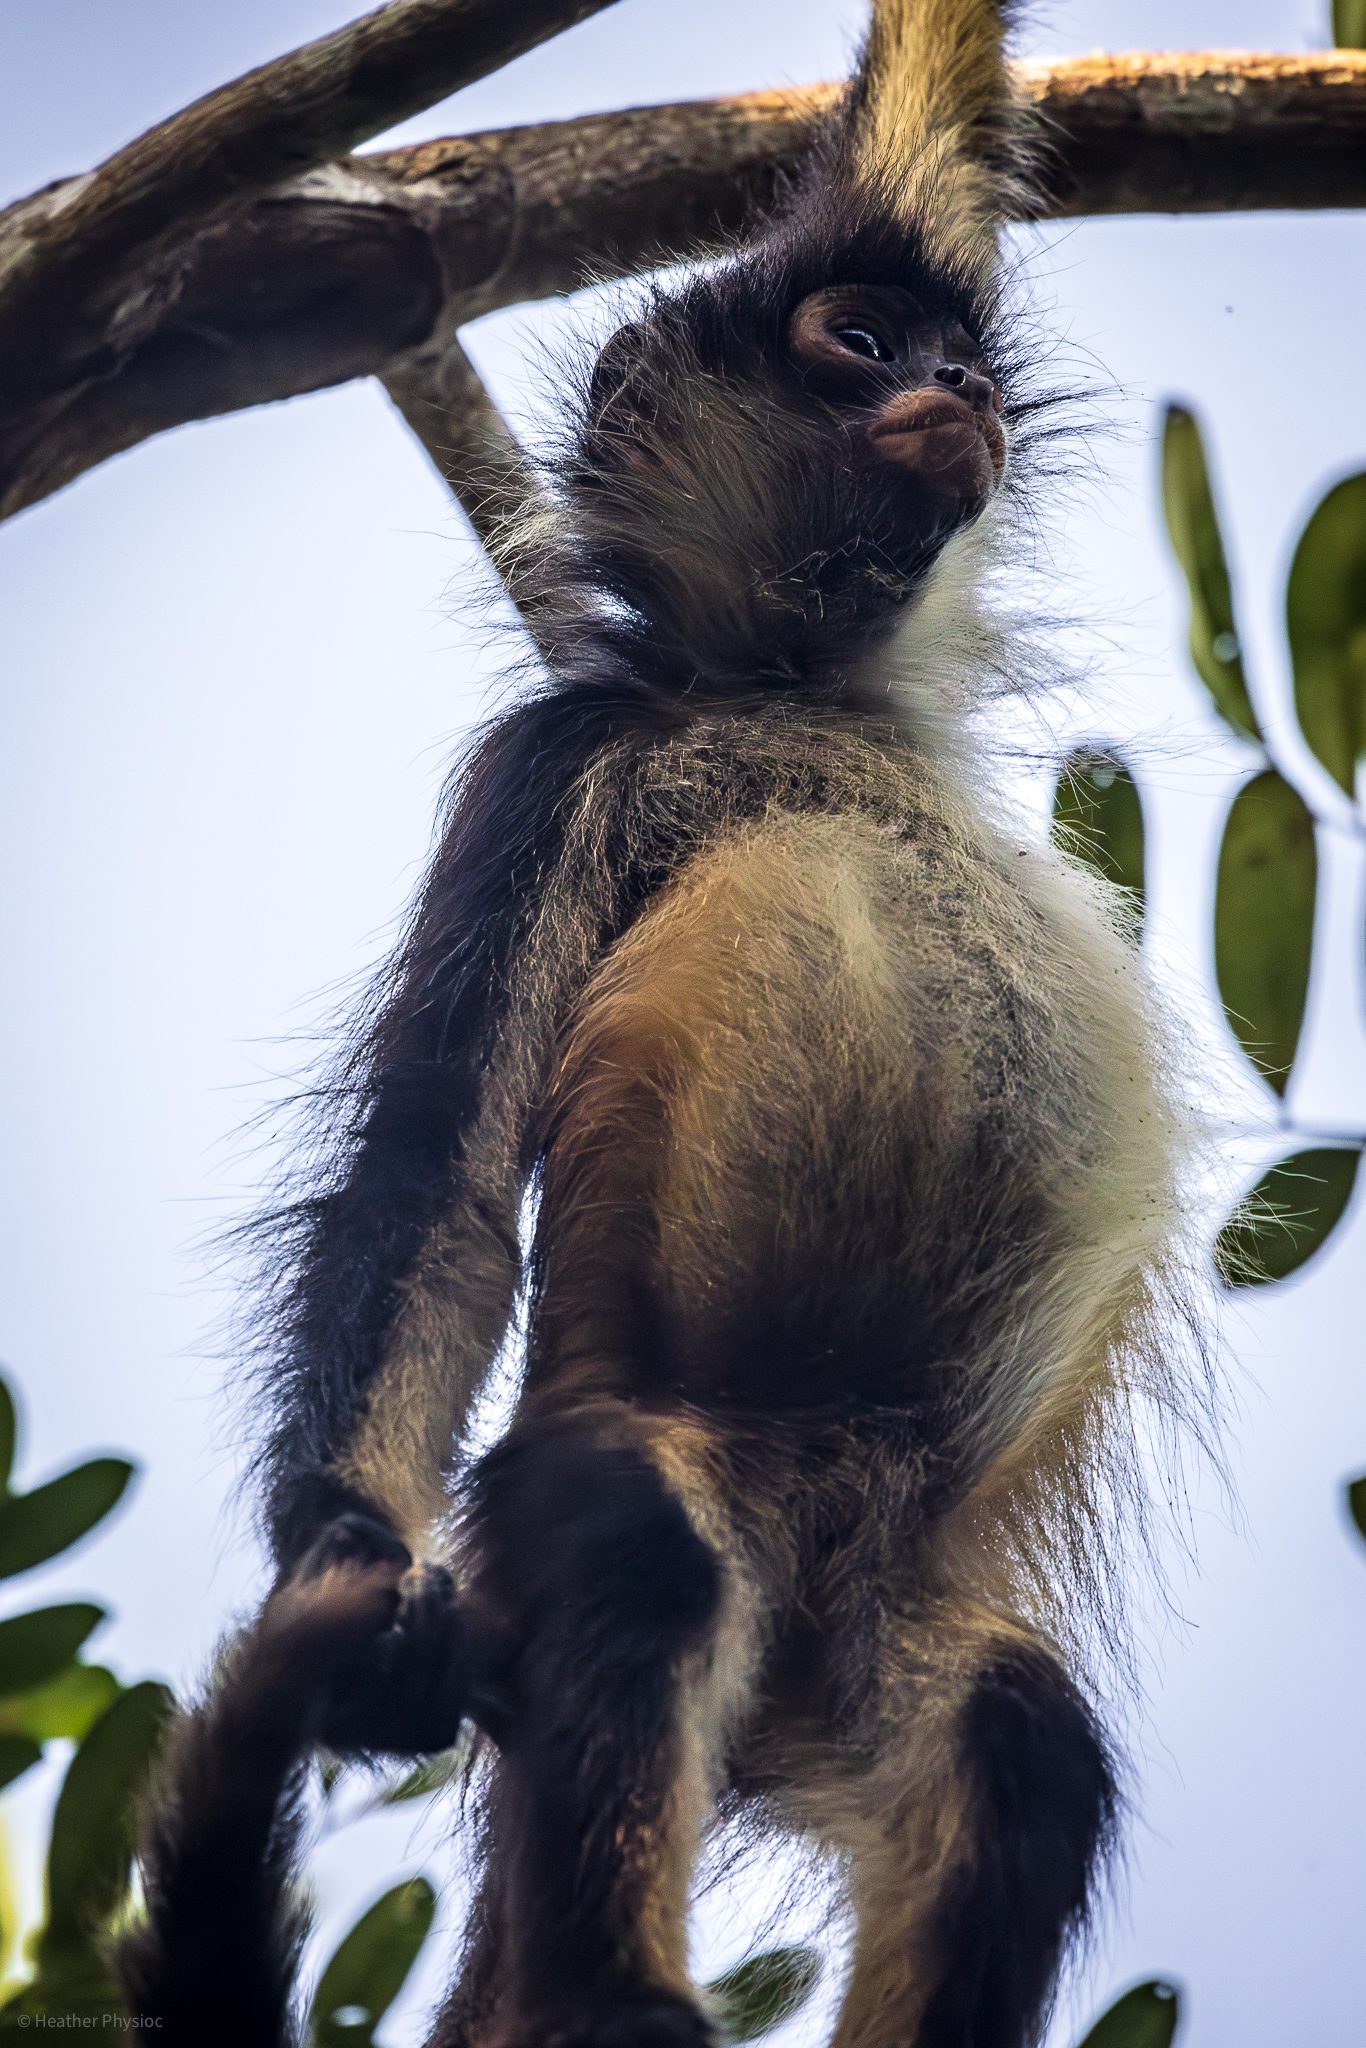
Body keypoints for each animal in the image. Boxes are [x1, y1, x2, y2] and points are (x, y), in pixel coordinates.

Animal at [116, 2, 1208, 2044]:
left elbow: (940, 125)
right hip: (657, 1472)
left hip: (881, 1637)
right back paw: (612, 1997)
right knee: (632, 1533)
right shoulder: (561, 759)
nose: (959, 381)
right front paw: (348, 1555)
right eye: (859, 344)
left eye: (947, 347)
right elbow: (441, 1177)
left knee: (1016, 1745)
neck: (792, 690)